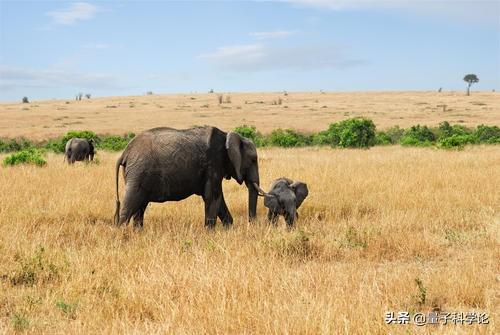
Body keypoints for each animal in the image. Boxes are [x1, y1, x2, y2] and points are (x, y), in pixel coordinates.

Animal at [114, 126, 268, 228]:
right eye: (253, 160)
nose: (252, 224)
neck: (227, 136)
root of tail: (125, 152)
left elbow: (218, 199)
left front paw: (229, 228)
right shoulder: (213, 163)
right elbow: (213, 197)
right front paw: (209, 232)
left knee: (140, 207)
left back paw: (138, 232)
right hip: (138, 172)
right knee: (131, 204)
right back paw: (123, 234)